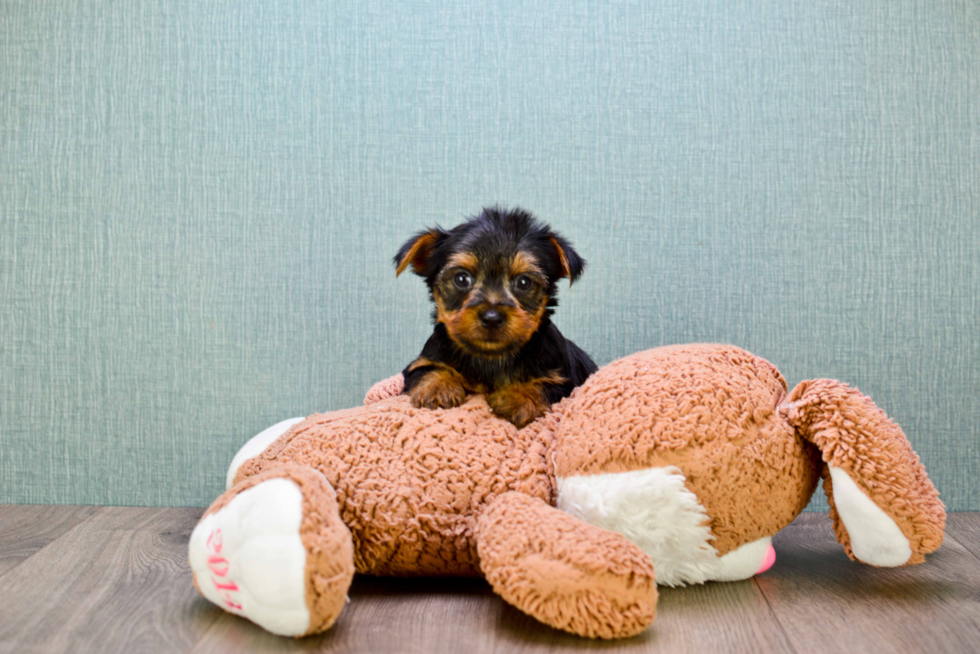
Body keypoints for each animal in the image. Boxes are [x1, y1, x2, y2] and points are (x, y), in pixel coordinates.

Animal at [392, 206, 596, 430]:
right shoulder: (422, 361)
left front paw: (520, 397)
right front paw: (437, 387)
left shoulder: (565, 381)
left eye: (524, 282)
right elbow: (427, 369)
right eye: (461, 279)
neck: (490, 357)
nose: (491, 317)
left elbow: (546, 385)